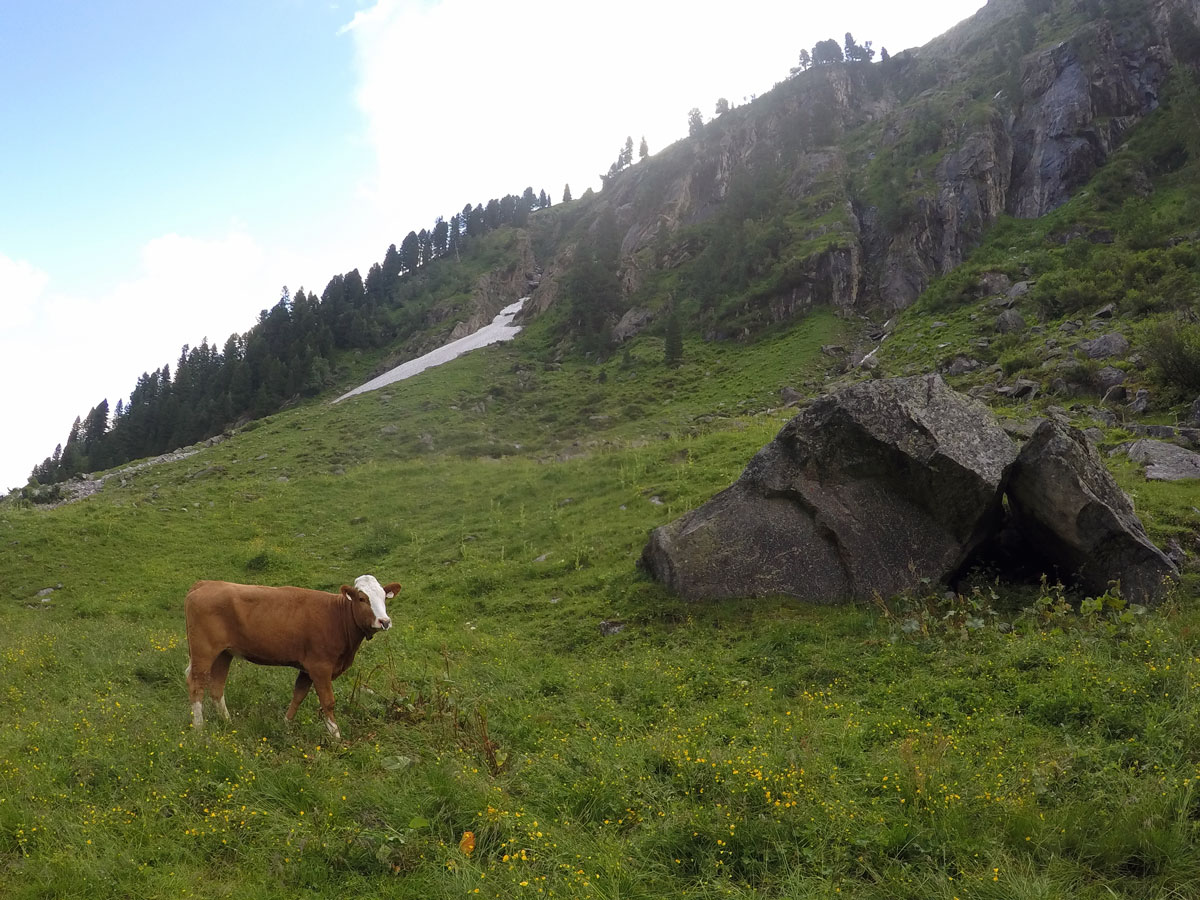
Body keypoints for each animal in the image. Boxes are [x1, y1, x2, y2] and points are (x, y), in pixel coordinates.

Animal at [182, 578, 398, 739]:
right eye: (362, 598)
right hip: (203, 651)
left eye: (384, 598)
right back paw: (200, 728)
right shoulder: (320, 667)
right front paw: (336, 737)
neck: (336, 617)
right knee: (197, 685)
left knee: (217, 688)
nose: (385, 621)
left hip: (224, 654)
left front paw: (286, 725)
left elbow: (298, 696)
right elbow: (327, 701)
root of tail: (205, 584)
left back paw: (227, 722)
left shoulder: (306, 669)